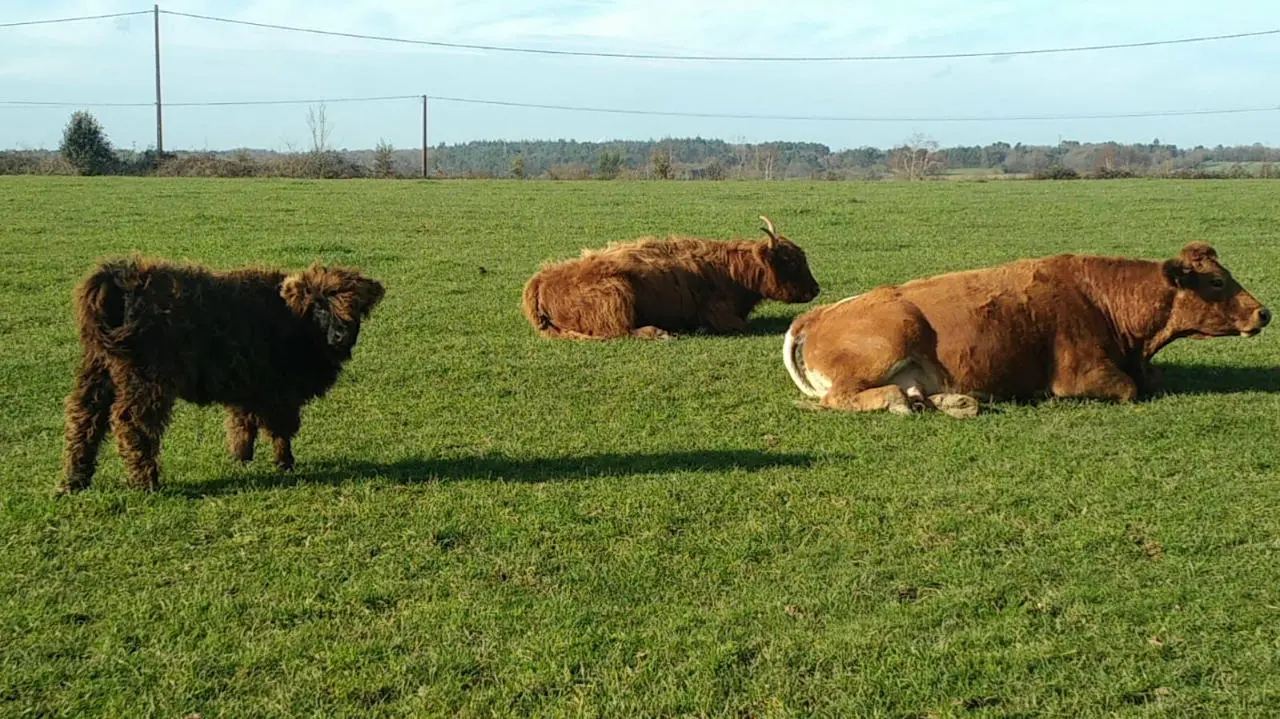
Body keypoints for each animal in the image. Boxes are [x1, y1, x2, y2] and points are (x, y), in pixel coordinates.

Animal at [63, 254, 384, 488]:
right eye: (319, 306)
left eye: (355, 307)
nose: (341, 335)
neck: (293, 320)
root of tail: (127, 279)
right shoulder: (280, 393)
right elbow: (280, 431)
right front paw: (285, 464)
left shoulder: (247, 388)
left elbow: (242, 424)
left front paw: (241, 459)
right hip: (145, 380)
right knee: (132, 424)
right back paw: (147, 482)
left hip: (98, 371)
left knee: (85, 417)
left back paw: (74, 481)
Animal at [522, 214, 814, 337]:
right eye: (791, 261)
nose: (816, 289)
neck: (730, 272)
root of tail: (539, 281)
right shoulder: (721, 315)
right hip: (617, 296)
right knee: (622, 331)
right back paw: (659, 332)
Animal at [783, 243, 1264, 417]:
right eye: (1216, 282)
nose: (1264, 313)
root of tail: (820, 313)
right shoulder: (1083, 376)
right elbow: (1130, 389)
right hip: (890, 338)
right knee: (841, 398)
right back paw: (901, 403)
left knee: (915, 391)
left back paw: (953, 402)